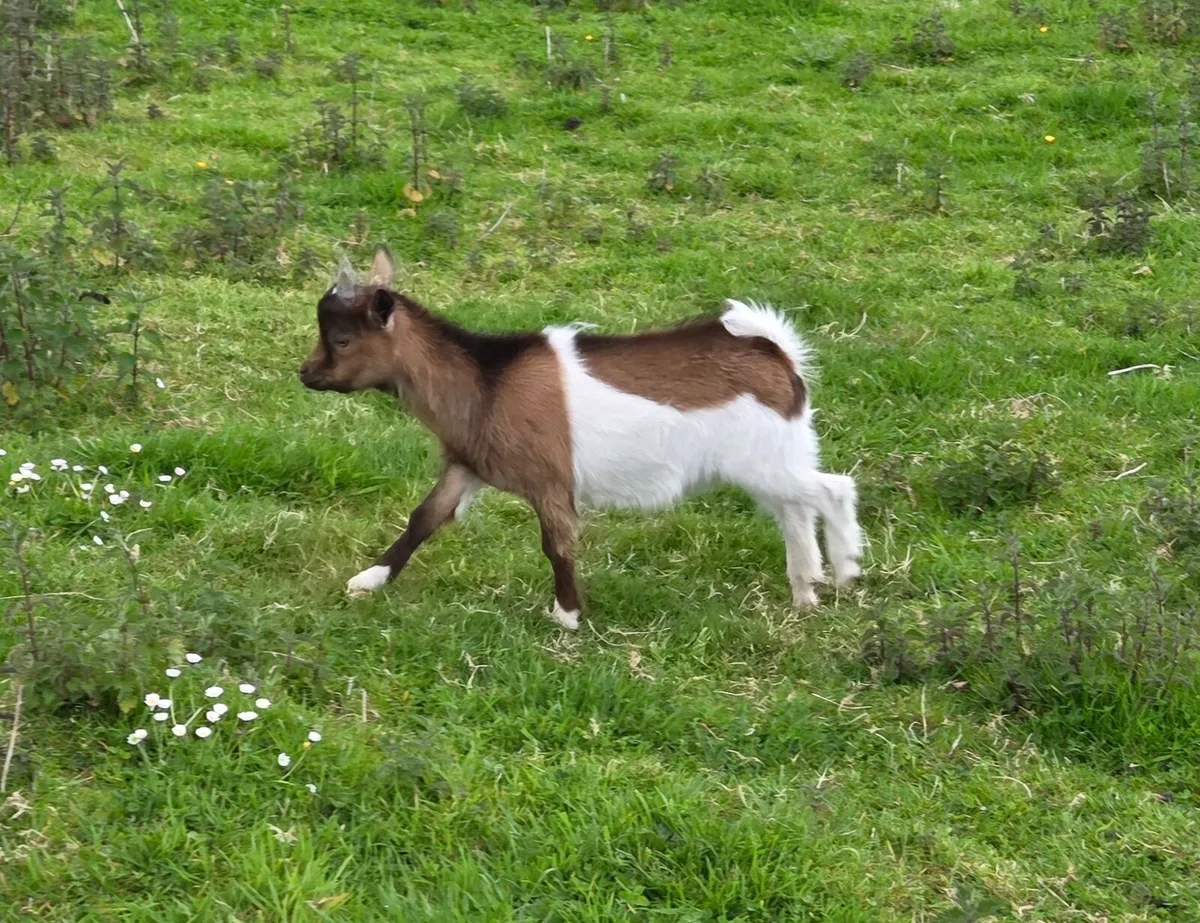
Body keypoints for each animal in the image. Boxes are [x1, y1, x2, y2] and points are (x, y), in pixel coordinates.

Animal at [299, 248, 862, 630]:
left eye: (342, 339)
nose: (306, 374)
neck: (485, 381)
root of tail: (777, 353)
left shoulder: (550, 481)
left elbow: (557, 544)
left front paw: (566, 615)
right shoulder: (466, 465)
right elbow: (424, 518)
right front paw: (368, 581)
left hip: (762, 460)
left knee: (832, 489)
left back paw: (845, 569)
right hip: (774, 459)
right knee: (795, 511)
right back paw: (804, 592)